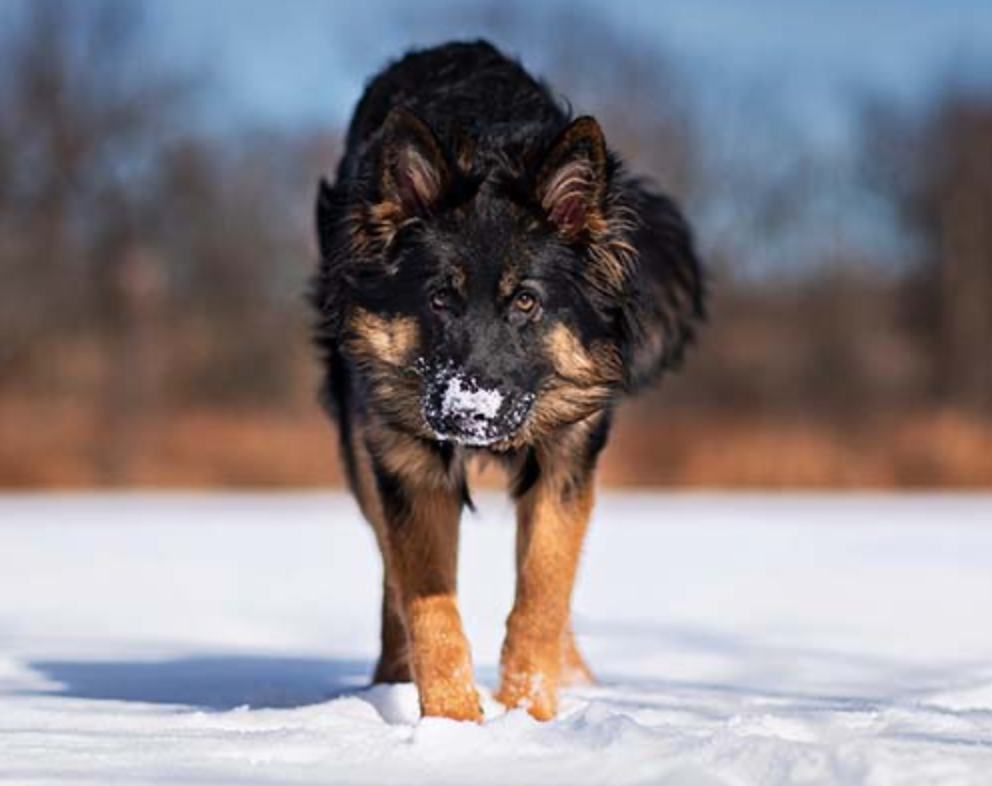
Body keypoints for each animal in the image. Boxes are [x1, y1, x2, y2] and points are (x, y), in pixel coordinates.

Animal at [312, 39, 704, 720]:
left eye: (525, 302)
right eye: (439, 299)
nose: (468, 413)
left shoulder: (566, 459)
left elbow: (543, 594)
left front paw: (529, 714)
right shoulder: (408, 465)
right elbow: (431, 611)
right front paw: (452, 724)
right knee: (390, 576)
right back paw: (390, 681)